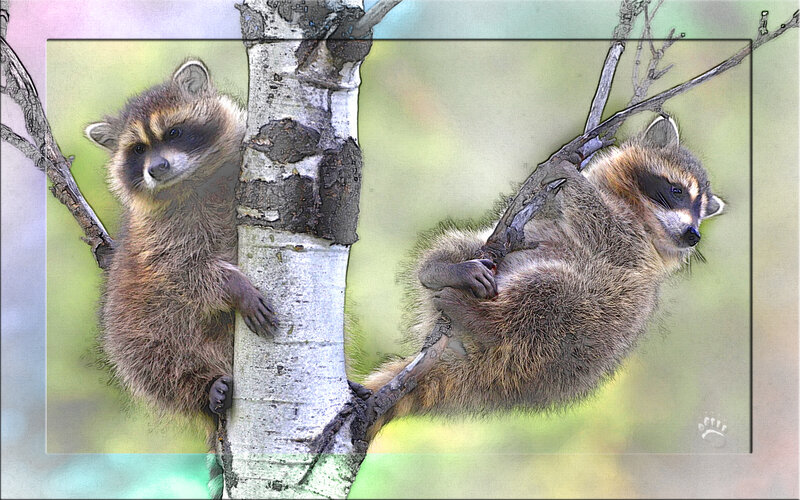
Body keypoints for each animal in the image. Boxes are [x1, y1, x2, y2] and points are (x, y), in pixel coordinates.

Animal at [85, 60, 277, 429]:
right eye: (139, 149)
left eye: (173, 133)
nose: (157, 168)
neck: (192, 181)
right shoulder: (156, 234)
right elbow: (179, 271)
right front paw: (234, 285)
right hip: (133, 322)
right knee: (152, 360)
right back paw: (205, 389)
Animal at [362, 115, 725, 436]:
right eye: (678, 191)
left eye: (701, 213)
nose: (693, 235)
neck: (640, 213)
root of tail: (481, 376)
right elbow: (530, 213)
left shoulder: (637, 253)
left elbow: (608, 233)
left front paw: (573, 179)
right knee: (462, 244)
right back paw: (443, 270)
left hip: (571, 338)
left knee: (551, 294)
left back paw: (484, 320)